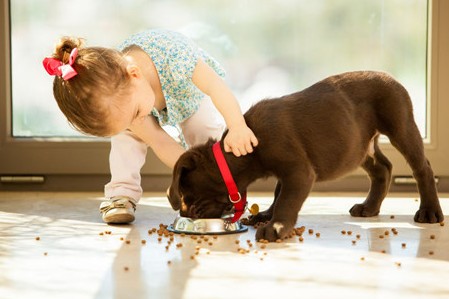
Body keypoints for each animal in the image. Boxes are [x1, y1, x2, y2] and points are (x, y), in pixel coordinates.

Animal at [166, 71, 442, 243]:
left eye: (187, 195)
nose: (187, 213)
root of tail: (391, 77)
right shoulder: (287, 172)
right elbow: (278, 193)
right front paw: (266, 215)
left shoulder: (298, 171)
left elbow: (286, 200)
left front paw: (276, 226)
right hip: (359, 146)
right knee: (382, 168)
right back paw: (369, 207)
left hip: (401, 126)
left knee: (422, 168)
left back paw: (429, 211)